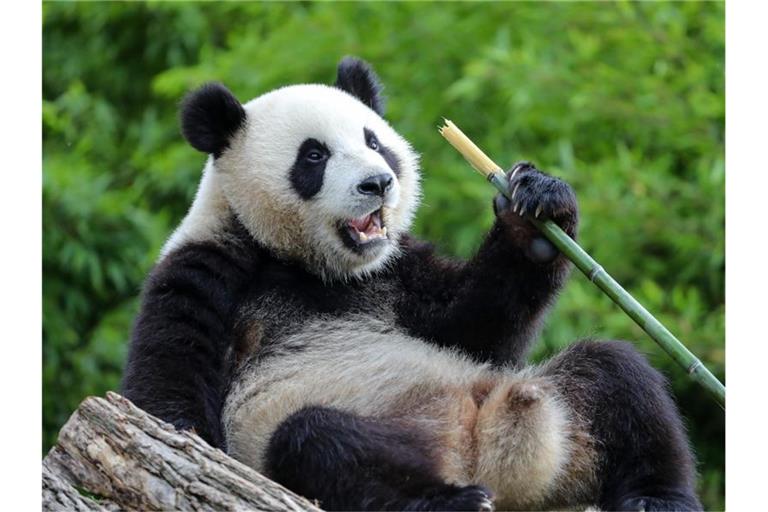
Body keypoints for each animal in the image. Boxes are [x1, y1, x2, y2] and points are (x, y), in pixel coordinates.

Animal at [123, 57, 704, 512]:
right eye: (314, 155)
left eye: (374, 142)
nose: (378, 183)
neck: (313, 267)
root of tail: (486, 453)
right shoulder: (209, 268)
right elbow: (166, 384)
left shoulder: (397, 272)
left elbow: (477, 329)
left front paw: (536, 207)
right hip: (325, 428)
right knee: (319, 445)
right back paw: (451, 500)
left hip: (561, 422)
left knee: (618, 378)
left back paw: (657, 498)